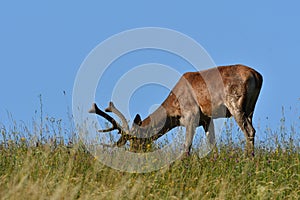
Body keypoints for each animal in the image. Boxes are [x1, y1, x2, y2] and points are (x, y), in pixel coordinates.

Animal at [88, 65, 262, 157]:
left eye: (137, 140)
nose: (134, 154)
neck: (174, 112)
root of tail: (257, 75)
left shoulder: (192, 114)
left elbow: (186, 147)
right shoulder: (206, 119)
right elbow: (212, 144)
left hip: (235, 103)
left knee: (249, 130)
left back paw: (248, 159)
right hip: (251, 108)